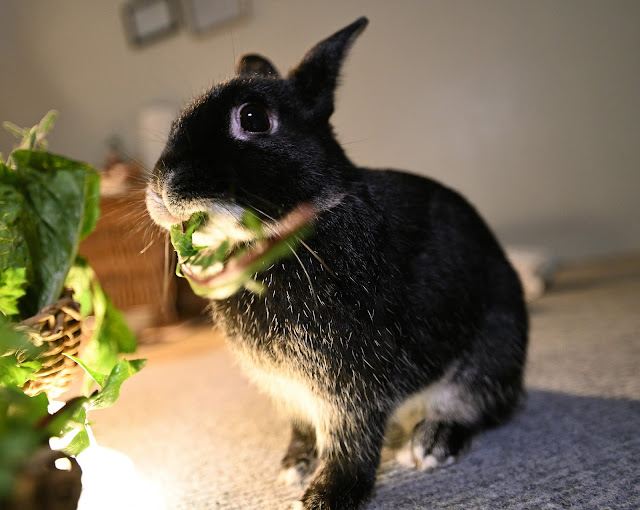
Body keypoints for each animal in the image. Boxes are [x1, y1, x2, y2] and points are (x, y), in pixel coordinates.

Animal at [146, 17, 528, 510]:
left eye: (253, 118)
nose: (163, 187)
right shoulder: (290, 392)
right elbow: (304, 427)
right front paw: (294, 466)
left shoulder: (351, 383)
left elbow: (351, 441)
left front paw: (325, 497)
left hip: (492, 350)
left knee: (480, 406)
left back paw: (432, 443)